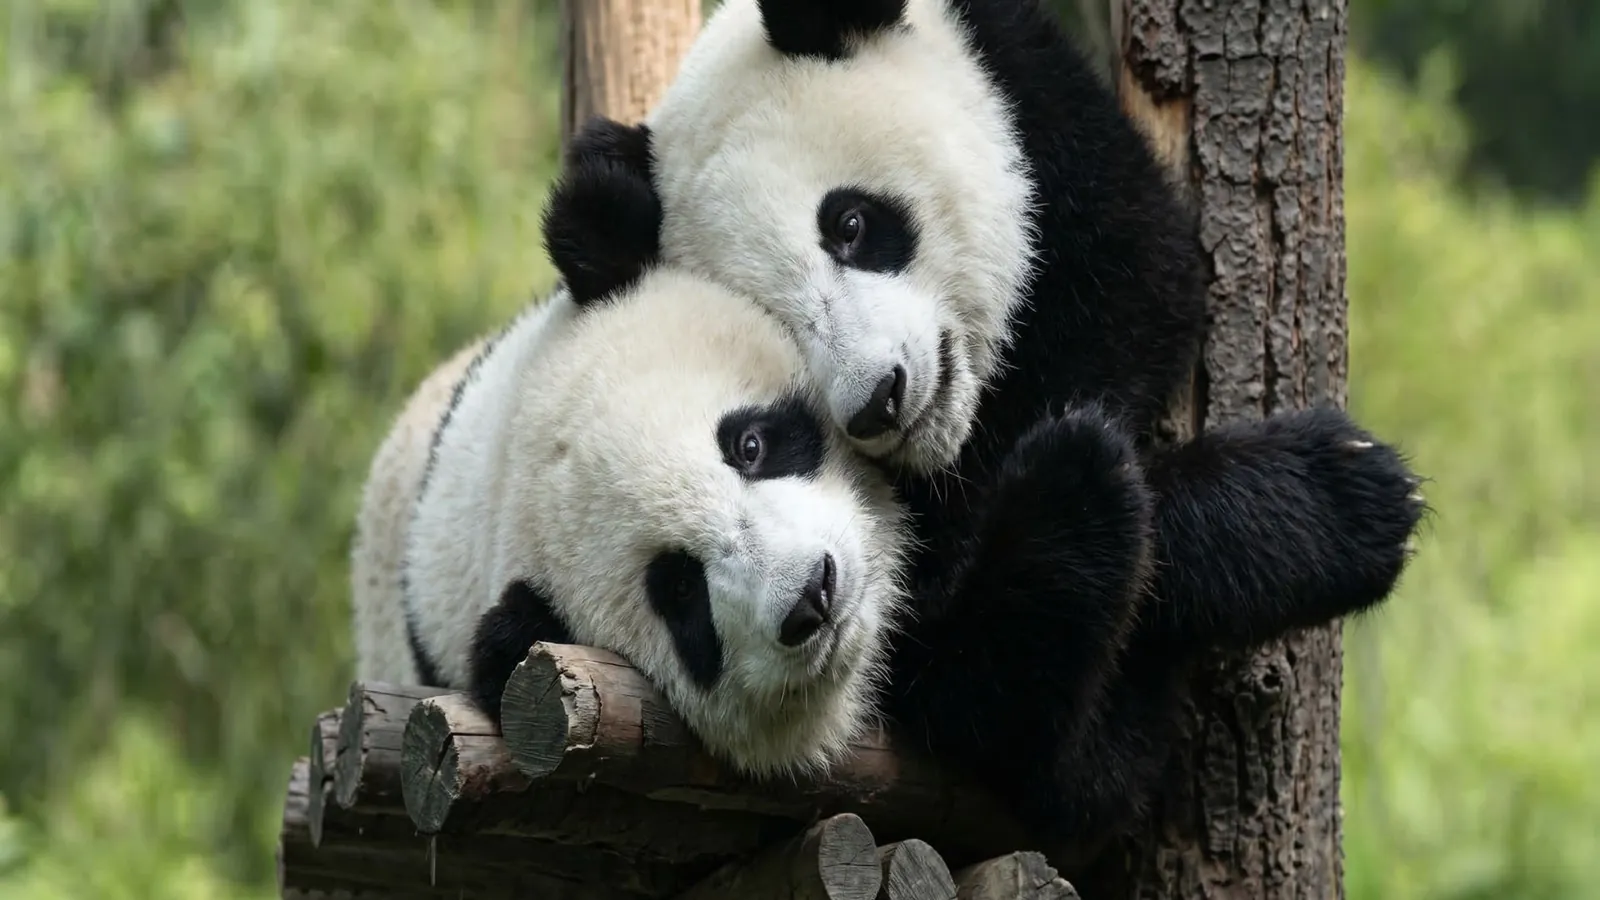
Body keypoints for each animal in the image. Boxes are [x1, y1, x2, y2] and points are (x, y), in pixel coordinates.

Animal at [565, 0, 1428, 860]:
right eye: (775, 322)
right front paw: (1339, 498)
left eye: (850, 224)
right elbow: (984, 690)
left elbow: (1143, 283)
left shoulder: (1047, 130)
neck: (958, 439)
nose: (879, 401)